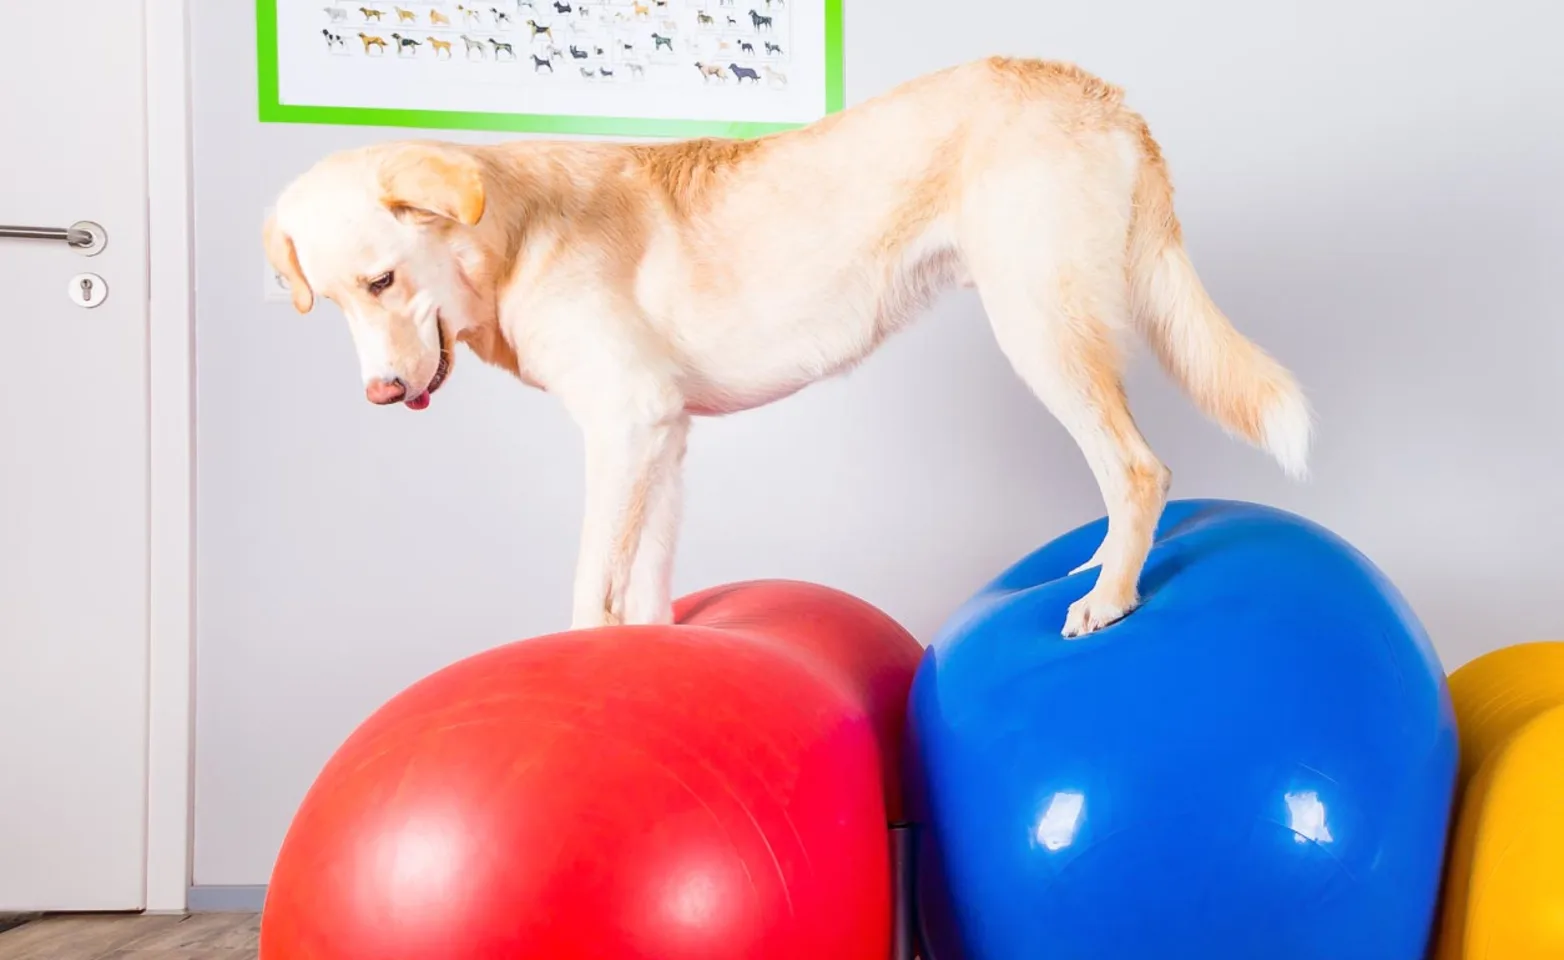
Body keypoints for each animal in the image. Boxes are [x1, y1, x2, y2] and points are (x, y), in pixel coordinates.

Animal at [265, 56, 1307, 634]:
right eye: (331, 302)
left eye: (382, 282)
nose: (380, 393)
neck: (512, 232)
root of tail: (1102, 93)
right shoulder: (664, 437)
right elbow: (646, 588)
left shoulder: (625, 428)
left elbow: (591, 589)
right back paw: (1096, 566)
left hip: (1039, 326)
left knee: (1138, 468)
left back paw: (1112, 596)